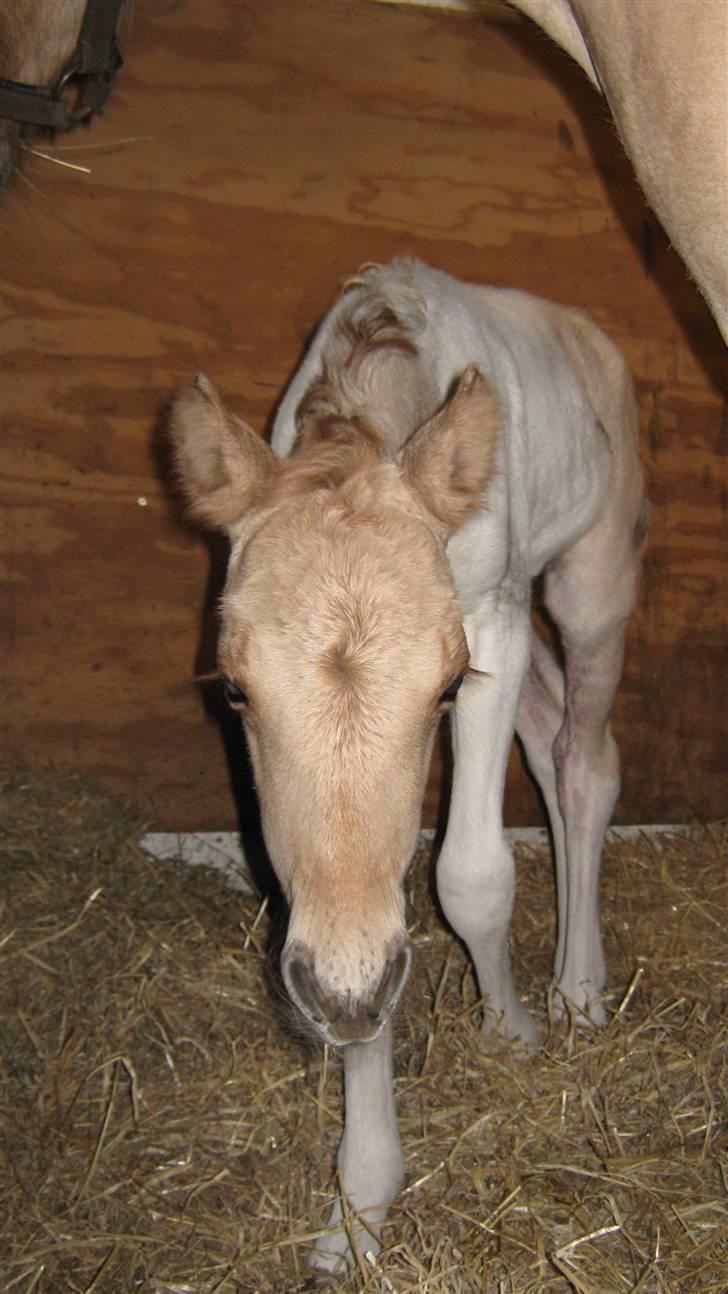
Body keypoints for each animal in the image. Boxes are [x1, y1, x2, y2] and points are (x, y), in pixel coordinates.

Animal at [171, 254, 649, 1273]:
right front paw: (360, 1204)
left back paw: (579, 993)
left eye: (444, 686)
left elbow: (471, 874)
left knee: (585, 757)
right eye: (232, 689)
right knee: (550, 736)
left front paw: (510, 1029)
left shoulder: (493, 625)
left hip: (593, 576)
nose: (340, 994)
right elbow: (355, 921)